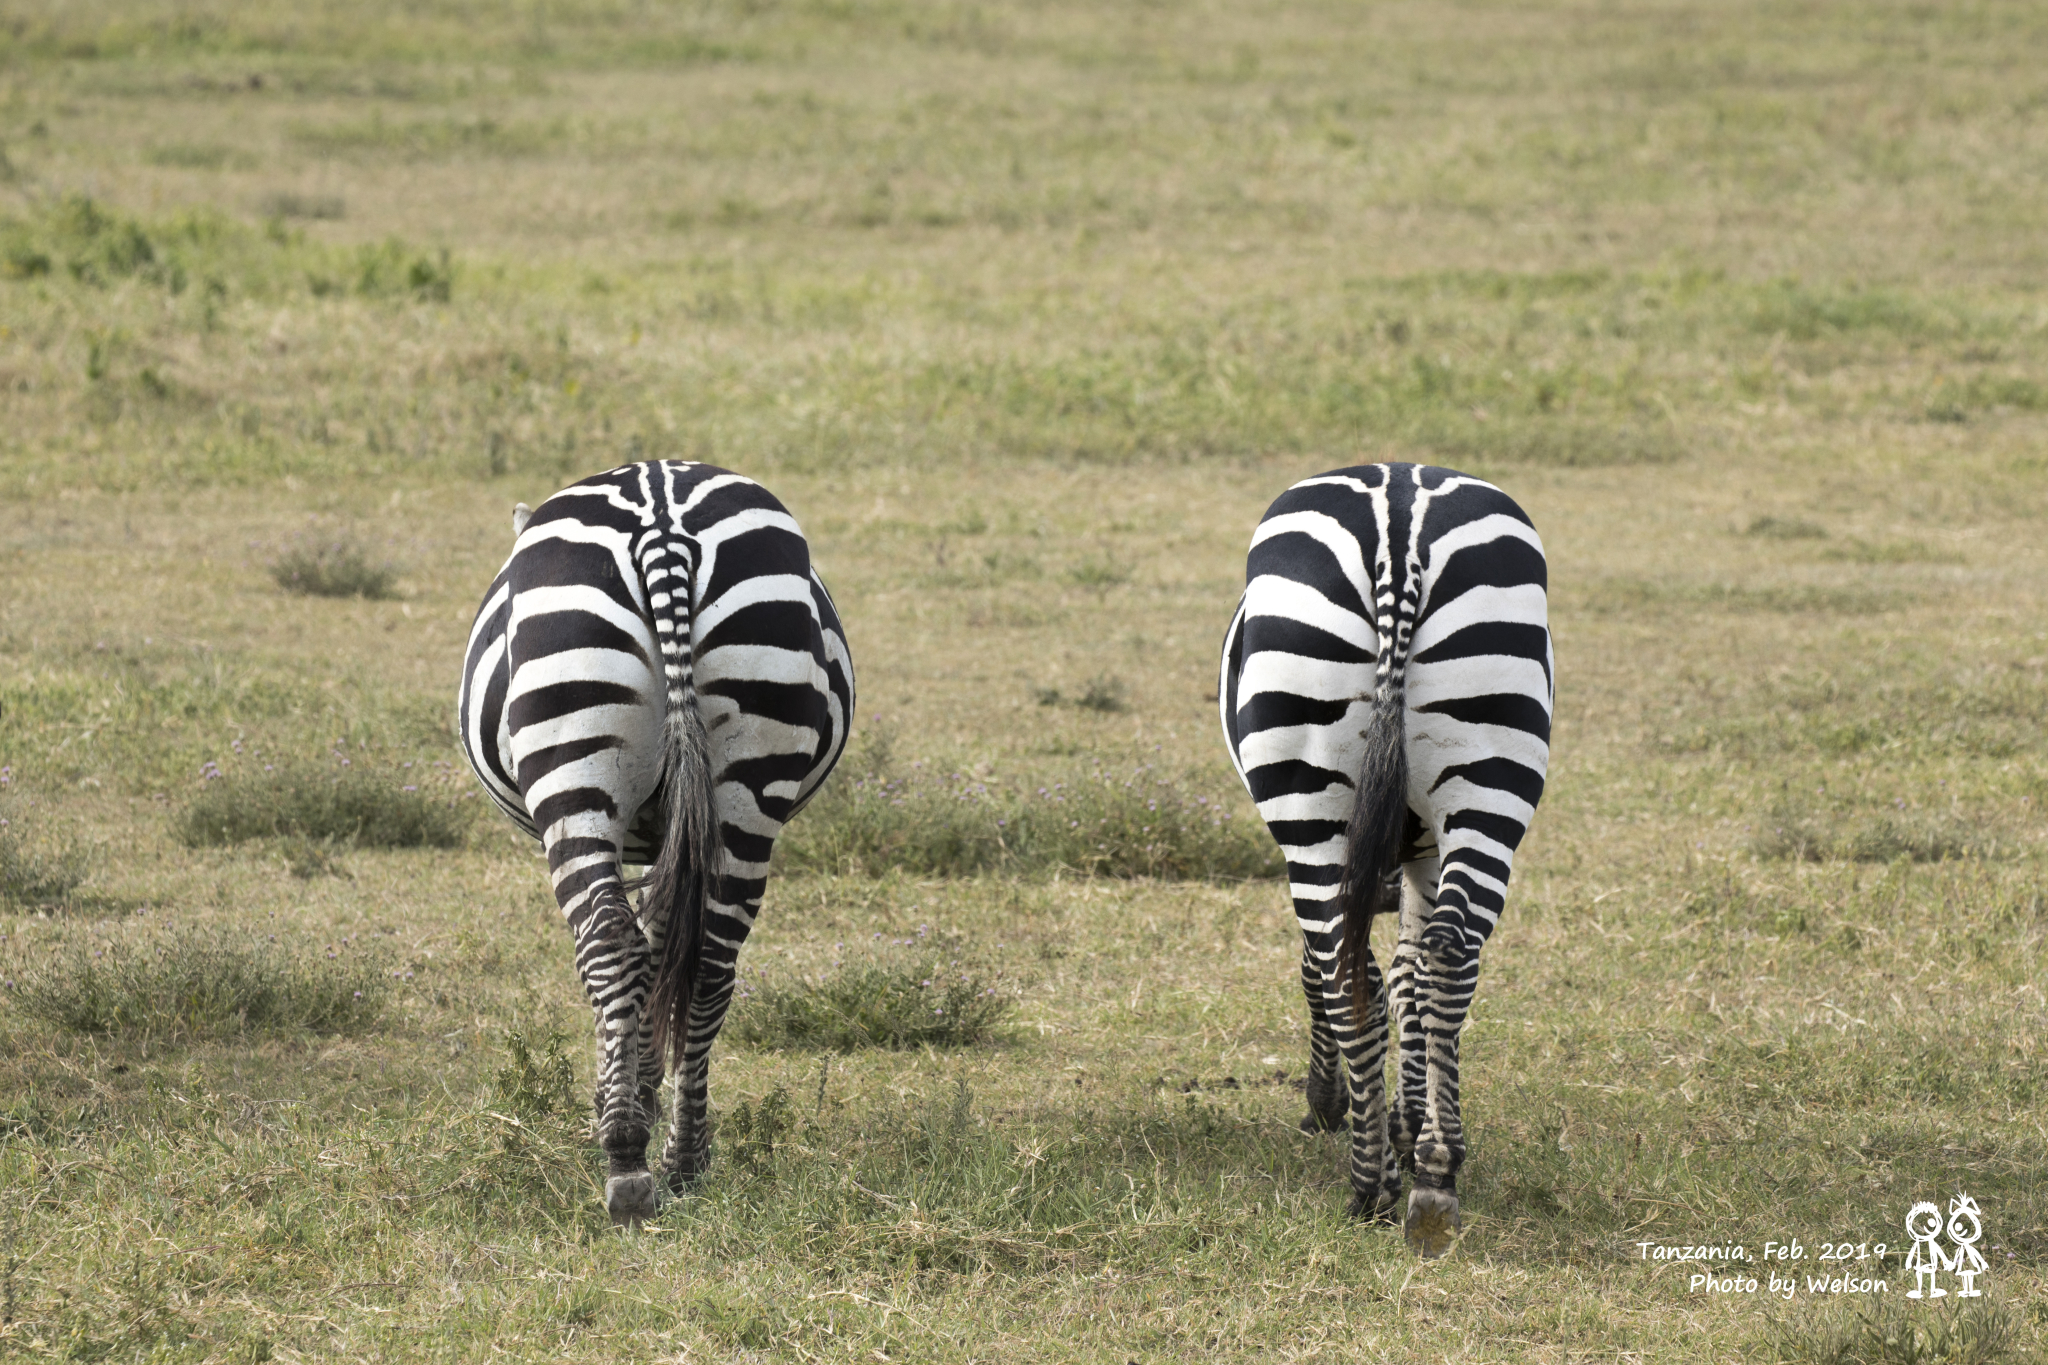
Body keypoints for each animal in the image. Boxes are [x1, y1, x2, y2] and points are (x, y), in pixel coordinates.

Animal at [460, 462, 851, 1227]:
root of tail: (662, 519)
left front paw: (623, 1096)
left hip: (571, 765)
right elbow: (664, 947)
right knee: (709, 964)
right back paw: (683, 1158)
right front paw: (641, 1090)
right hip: (748, 770)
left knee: (609, 941)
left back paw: (625, 1159)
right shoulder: (678, 838)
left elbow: (636, 954)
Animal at [1212, 462, 1548, 1260]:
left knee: (1344, 967)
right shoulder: (1421, 852)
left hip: (1306, 793)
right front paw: (1413, 1125)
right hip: (1493, 764)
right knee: (1451, 953)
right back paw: (1436, 1179)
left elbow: (1329, 969)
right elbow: (1410, 978)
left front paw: (1333, 1105)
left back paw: (1370, 1188)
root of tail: (1401, 515)